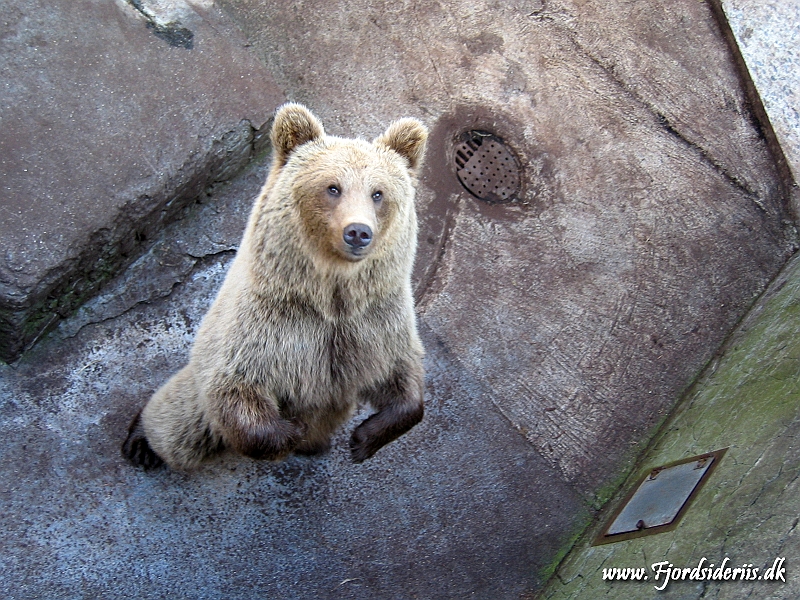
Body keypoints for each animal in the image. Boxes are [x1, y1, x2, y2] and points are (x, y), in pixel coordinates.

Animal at [121, 103, 428, 468]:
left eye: (378, 193)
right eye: (333, 187)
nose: (357, 232)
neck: (330, 294)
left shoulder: (376, 323)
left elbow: (402, 379)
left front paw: (363, 440)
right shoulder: (270, 327)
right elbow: (237, 390)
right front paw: (292, 431)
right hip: (198, 381)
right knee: (176, 427)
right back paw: (140, 441)